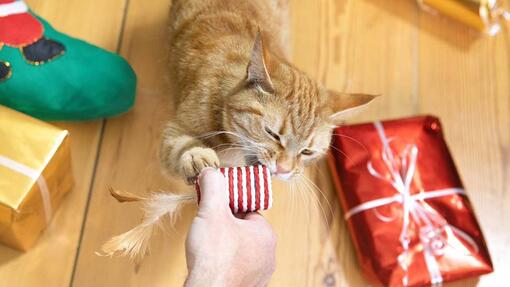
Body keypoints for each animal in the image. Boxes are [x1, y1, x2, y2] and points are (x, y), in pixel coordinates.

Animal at [161, 0, 376, 183]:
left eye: (307, 151)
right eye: (272, 134)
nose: (283, 169)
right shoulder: (173, 132)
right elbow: (179, 146)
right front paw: (196, 155)